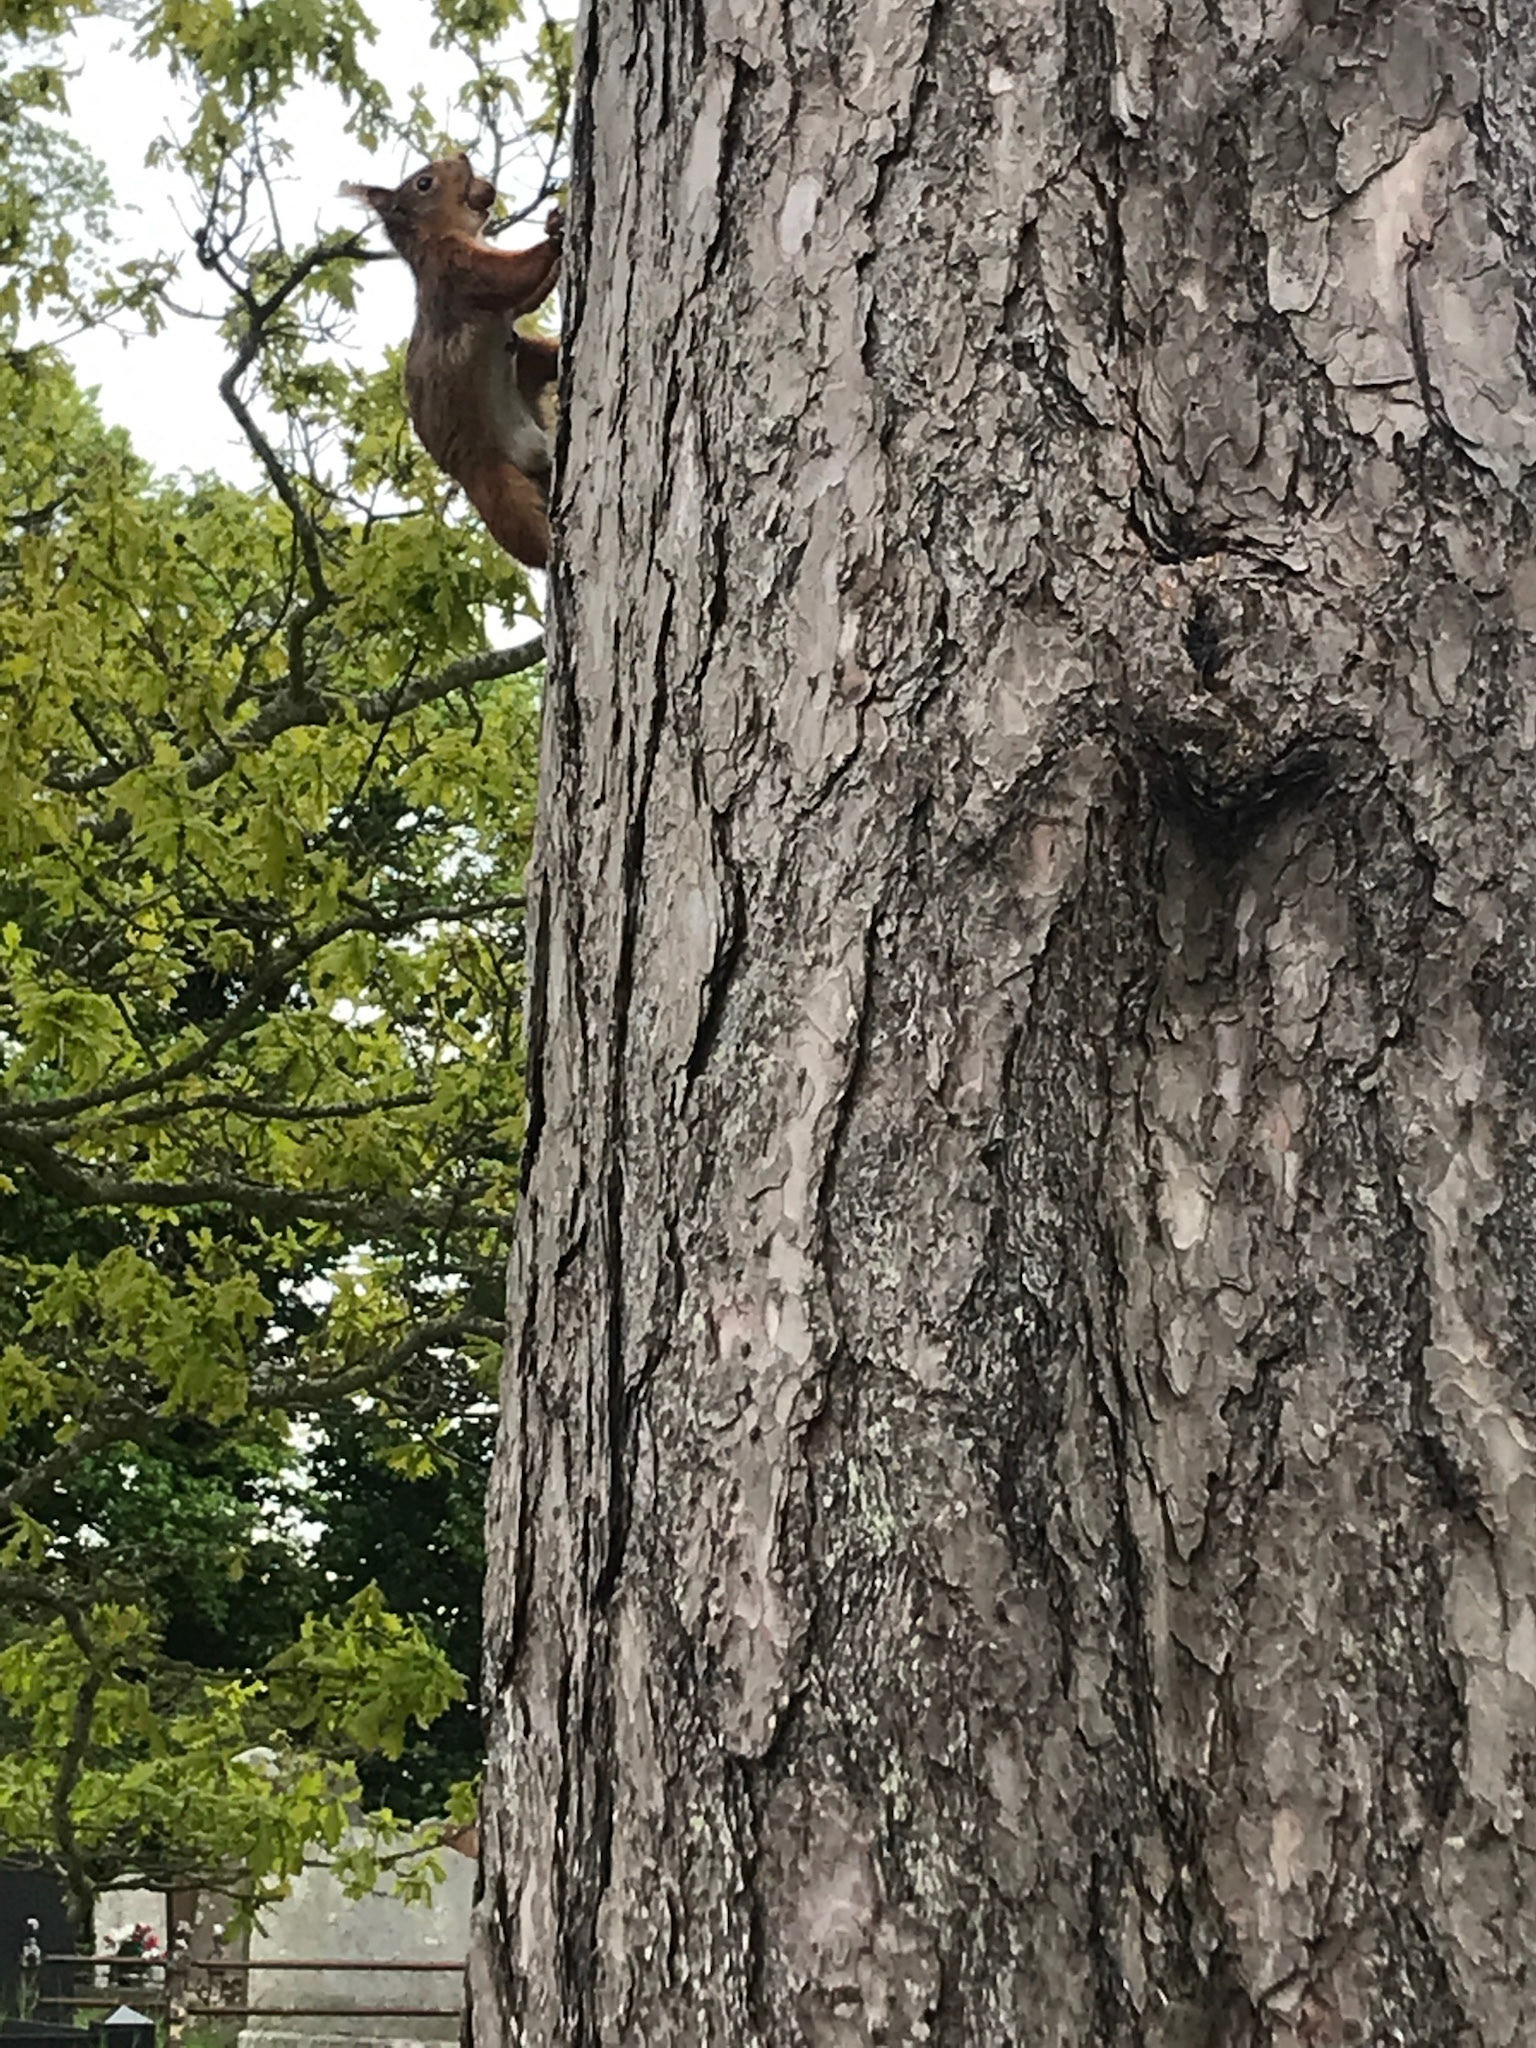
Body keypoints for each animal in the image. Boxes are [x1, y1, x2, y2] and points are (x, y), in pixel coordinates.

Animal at [343, 153, 563, 569]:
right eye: (424, 184)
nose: (462, 156)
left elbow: (527, 299)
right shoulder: (453, 270)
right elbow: (509, 277)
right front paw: (555, 236)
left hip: (529, 363)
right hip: (496, 483)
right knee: (529, 539)